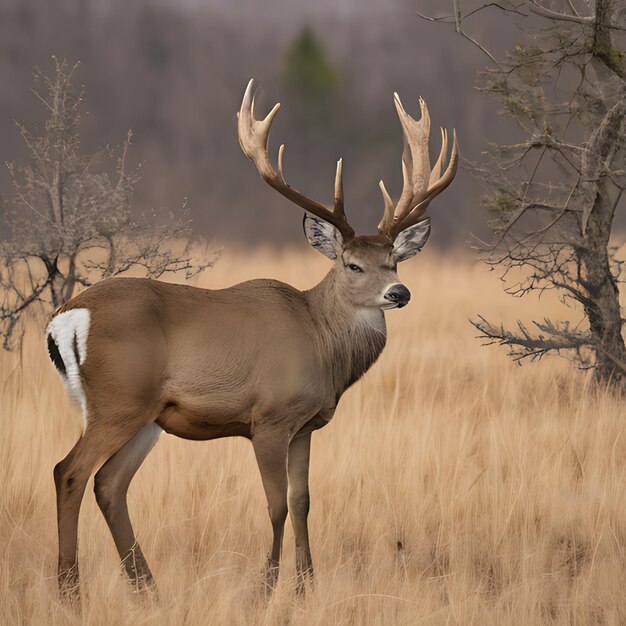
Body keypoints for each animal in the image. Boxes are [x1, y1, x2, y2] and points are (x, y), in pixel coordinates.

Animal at [42, 79, 454, 600]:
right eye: (352, 265)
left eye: (394, 261)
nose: (399, 293)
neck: (319, 339)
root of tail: (64, 318)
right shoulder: (269, 418)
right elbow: (275, 505)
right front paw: (266, 586)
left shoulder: (306, 426)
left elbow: (302, 502)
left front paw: (306, 586)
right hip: (117, 398)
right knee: (70, 471)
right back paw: (71, 592)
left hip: (146, 416)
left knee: (110, 484)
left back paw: (147, 590)